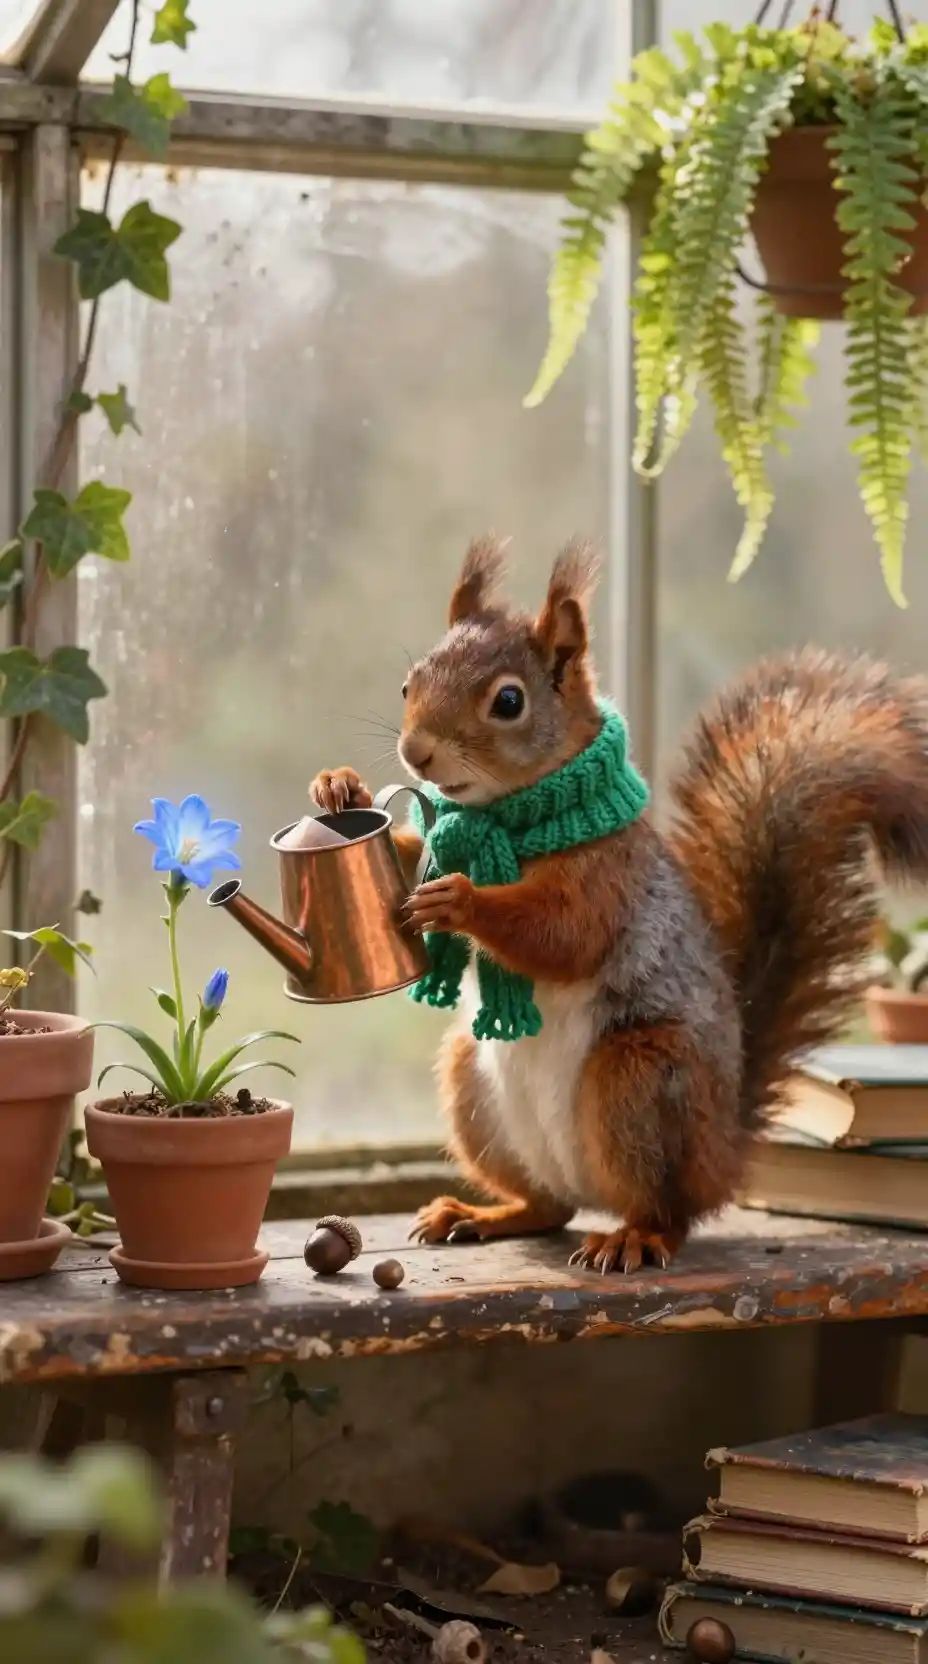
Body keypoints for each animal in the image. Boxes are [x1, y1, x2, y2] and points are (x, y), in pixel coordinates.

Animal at [310, 535, 928, 1274]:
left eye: (508, 701)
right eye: (410, 684)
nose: (416, 751)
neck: (517, 815)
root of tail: (723, 1153)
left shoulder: (610, 875)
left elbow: (564, 932)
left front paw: (461, 900)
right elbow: (405, 853)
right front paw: (338, 787)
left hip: (636, 1078)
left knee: (669, 1212)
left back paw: (633, 1237)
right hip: (472, 1084)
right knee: (548, 1206)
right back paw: (481, 1213)